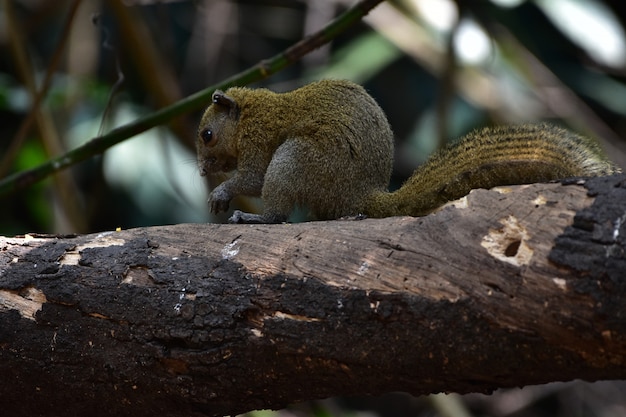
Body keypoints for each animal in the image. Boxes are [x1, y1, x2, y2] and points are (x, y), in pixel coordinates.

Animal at [196, 77, 620, 221]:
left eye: (207, 135)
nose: (200, 171)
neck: (248, 112)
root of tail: (361, 195)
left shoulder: (259, 137)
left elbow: (252, 178)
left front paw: (222, 193)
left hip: (297, 158)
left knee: (280, 214)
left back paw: (257, 218)